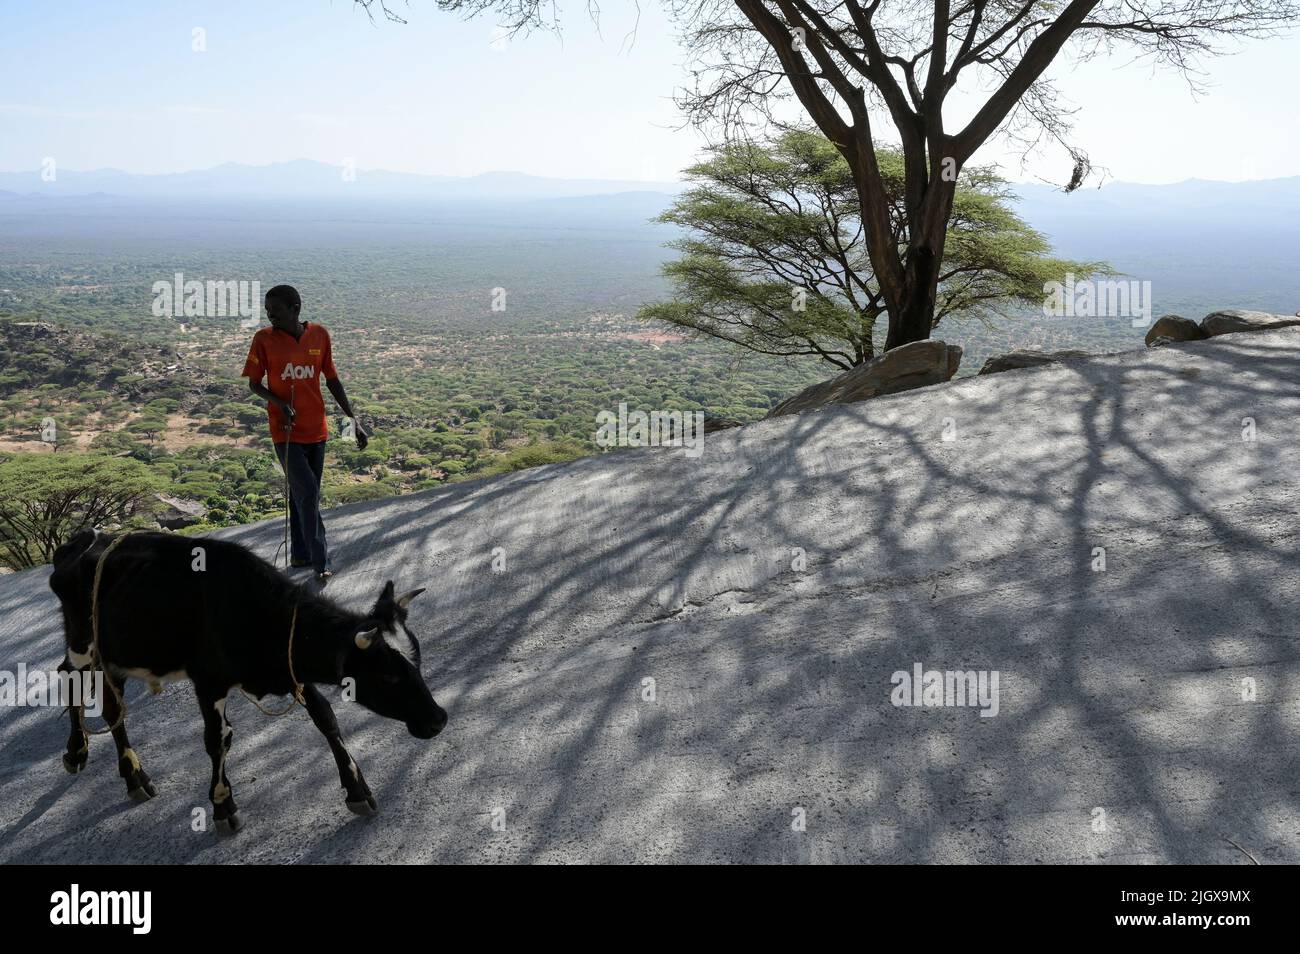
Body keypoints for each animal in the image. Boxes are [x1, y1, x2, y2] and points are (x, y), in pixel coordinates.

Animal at [48, 535, 447, 831]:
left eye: (418, 659)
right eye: (388, 675)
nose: (439, 719)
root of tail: (78, 542)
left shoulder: (292, 670)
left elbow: (326, 719)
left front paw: (357, 790)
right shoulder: (208, 682)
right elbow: (217, 740)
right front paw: (223, 806)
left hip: (113, 657)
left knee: (111, 706)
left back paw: (128, 774)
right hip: (83, 644)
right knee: (69, 675)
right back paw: (82, 754)